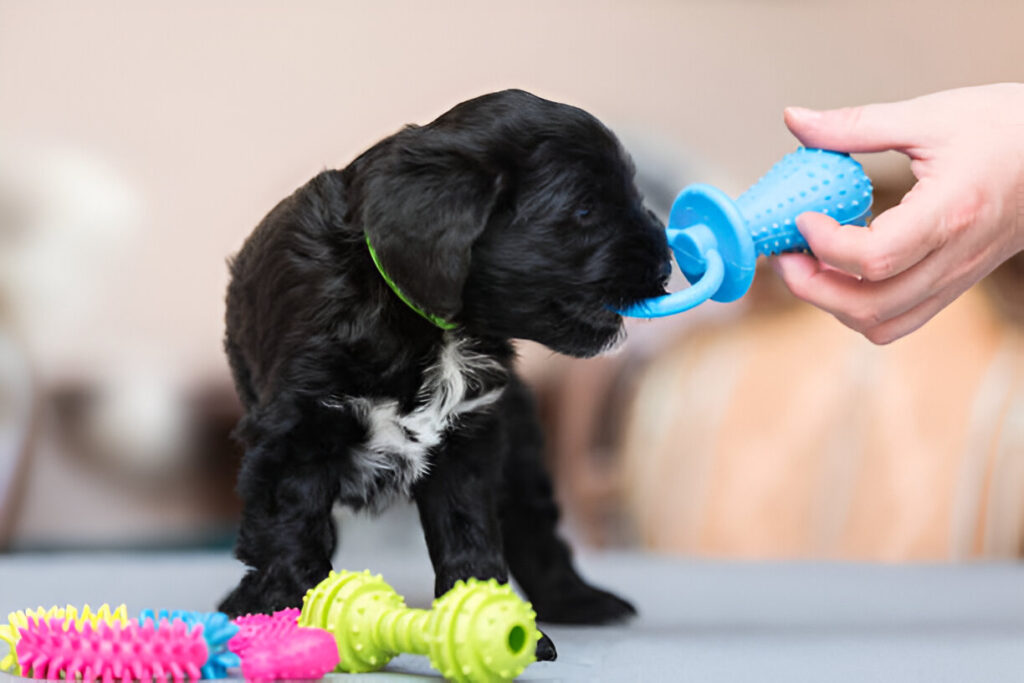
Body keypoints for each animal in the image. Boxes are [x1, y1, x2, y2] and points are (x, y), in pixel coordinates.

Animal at [217, 88, 671, 659]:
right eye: (586, 209)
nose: (668, 263)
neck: (424, 321)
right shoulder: (295, 436)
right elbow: (289, 532)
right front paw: (283, 617)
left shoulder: (469, 440)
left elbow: (469, 534)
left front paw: (491, 622)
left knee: (535, 528)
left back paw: (579, 601)